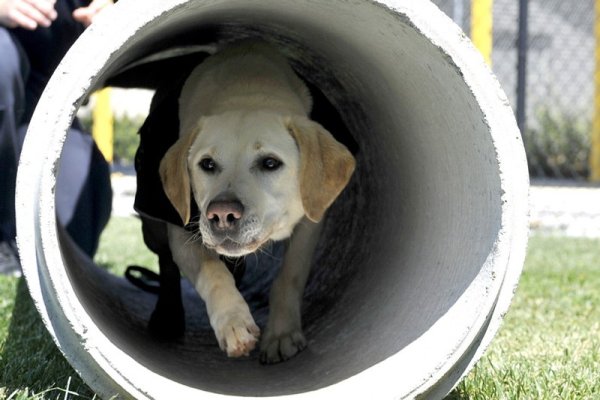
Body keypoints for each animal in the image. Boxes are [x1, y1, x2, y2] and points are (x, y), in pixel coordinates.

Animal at [159, 41, 356, 362]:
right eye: (207, 164)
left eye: (270, 163)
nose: (221, 214)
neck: (247, 84)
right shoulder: (181, 228)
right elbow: (212, 270)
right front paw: (234, 323)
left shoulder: (311, 219)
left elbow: (290, 275)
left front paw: (281, 334)